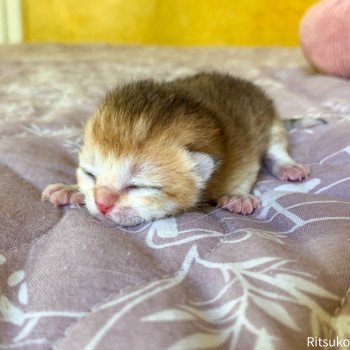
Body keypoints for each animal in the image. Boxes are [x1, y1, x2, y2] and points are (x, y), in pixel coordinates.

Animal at [41, 73, 308, 227]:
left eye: (139, 186)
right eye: (90, 174)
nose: (102, 204)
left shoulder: (243, 149)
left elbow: (247, 171)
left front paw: (236, 196)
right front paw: (70, 189)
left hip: (271, 120)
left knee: (276, 150)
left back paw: (288, 167)